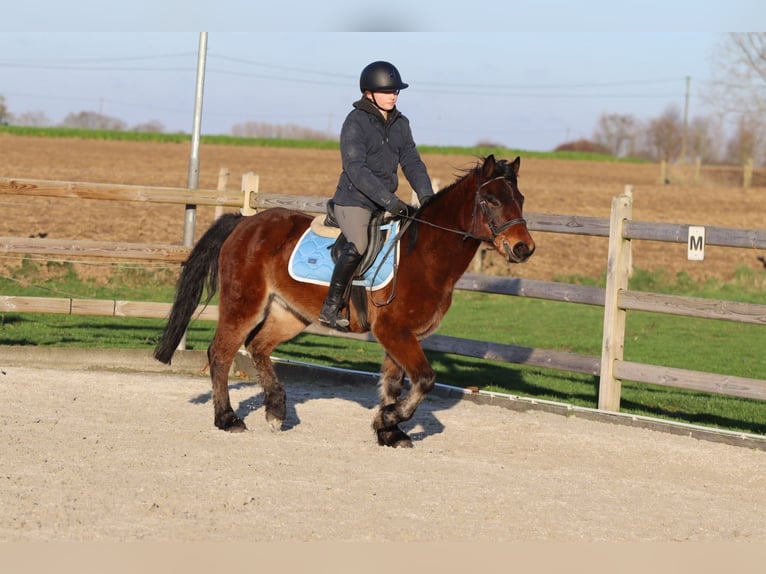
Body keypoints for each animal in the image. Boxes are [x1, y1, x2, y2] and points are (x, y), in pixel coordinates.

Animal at [154, 154, 535, 447]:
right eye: (491, 201)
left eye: (520, 199)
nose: (524, 249)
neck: (424, 256)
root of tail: (245, 223)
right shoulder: (394, 331)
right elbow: (425, 379)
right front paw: (390, 419)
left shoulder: (401, 335)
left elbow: (394, 383)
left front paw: (388, 431)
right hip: (244, 303)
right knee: (221, 352)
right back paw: (227, 418)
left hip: (289, 313)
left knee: (258, 346)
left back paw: (276, 411)